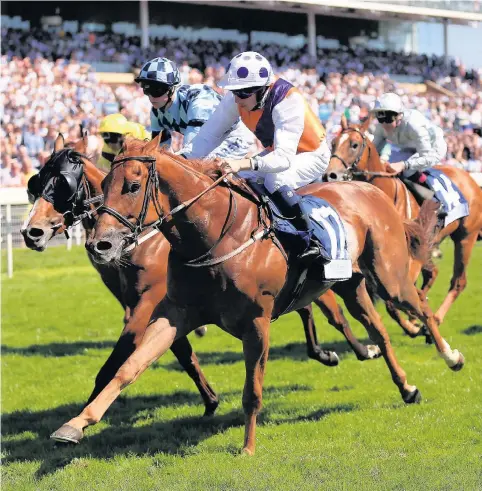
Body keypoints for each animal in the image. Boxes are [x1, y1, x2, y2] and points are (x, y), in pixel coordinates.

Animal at [54, 136, 466, 456]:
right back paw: (407, 387)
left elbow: (252, 391)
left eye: (133, 186)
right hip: (350, 284)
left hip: (389, 275)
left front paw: (248, 447)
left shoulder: (256, 321)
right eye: (105, 183)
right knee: (378, 330)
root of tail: (367, 188)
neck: (216, 236)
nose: (100, 245)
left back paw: (450, 356)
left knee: (421, 307)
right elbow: (128, 368)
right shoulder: (175, 313)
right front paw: (76, 423)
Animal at [330, 117, 482, 328]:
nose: (330, 175)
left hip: (465, 238)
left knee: (458, 281)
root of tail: (470, 179)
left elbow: (394, 301)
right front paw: (413, 322)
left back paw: (436, 317)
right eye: (333, 144)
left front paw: (415, 324)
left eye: (354, 145)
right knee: (432, 274)